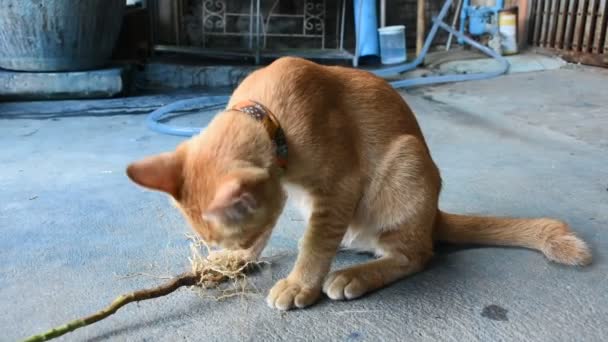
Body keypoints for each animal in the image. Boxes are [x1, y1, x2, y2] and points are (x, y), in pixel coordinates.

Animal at [127, 56, 588, 310]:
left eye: (242, 233)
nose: (236, 250)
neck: (265, 113)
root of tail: (435, 214)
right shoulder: (302, 196)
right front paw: (235, 262)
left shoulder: (338, 188)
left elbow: (314, 245)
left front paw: (299, 283)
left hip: (404, 161)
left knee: (416, 255)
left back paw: (354, 276)